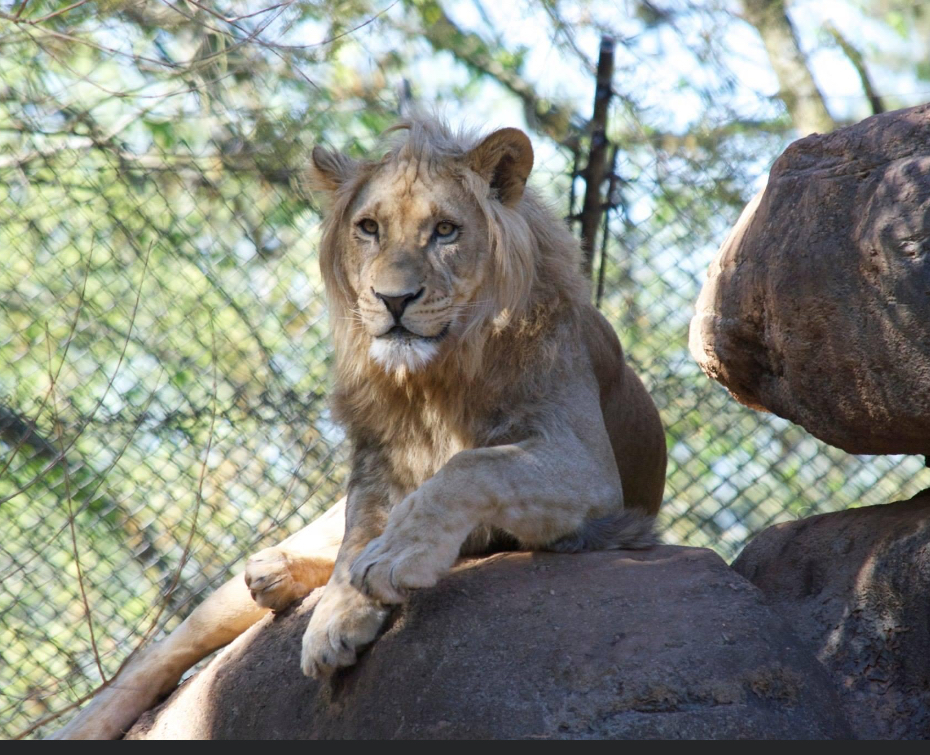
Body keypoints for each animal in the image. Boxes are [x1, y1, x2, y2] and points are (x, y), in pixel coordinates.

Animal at [50, 118, 667, 739]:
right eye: (369, 228)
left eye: (445, 231)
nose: (394, 300)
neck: (435, 379)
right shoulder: (375, 462)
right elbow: (359, 534)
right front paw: (335, 617)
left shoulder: (587, 466)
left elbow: (465, 469)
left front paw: (393, 560)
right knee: (163, 649)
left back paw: (281, 575)